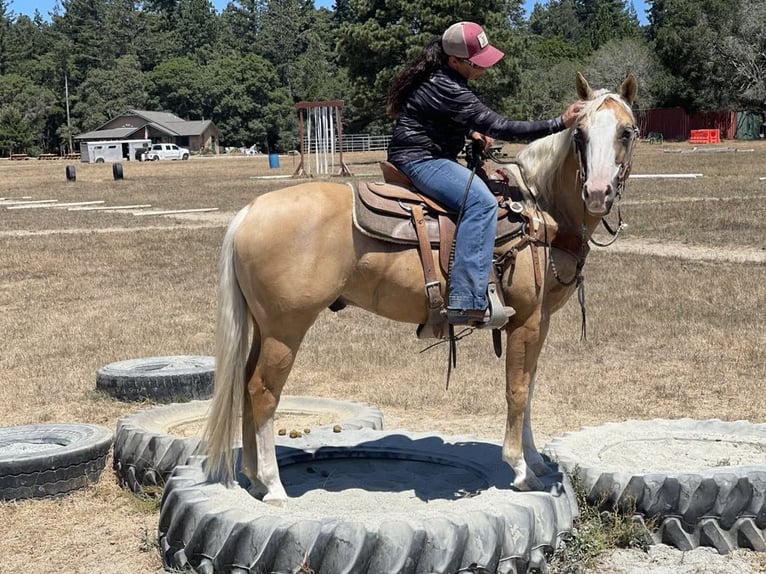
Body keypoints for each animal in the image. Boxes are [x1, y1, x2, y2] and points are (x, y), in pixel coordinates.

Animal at [202, 72, 639, 504]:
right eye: (579, 133)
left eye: (627, 131)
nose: (597, 193)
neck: (538, 210)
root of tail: (250, 212)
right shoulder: (526, 321)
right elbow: (516, 389)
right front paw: (519, 469)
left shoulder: (540, 321)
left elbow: (529, 387)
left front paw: (534, 459)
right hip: (286, 329)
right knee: (262, 390)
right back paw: (273, 484)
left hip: (264, 328)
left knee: (245, 385)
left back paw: (253, 477)